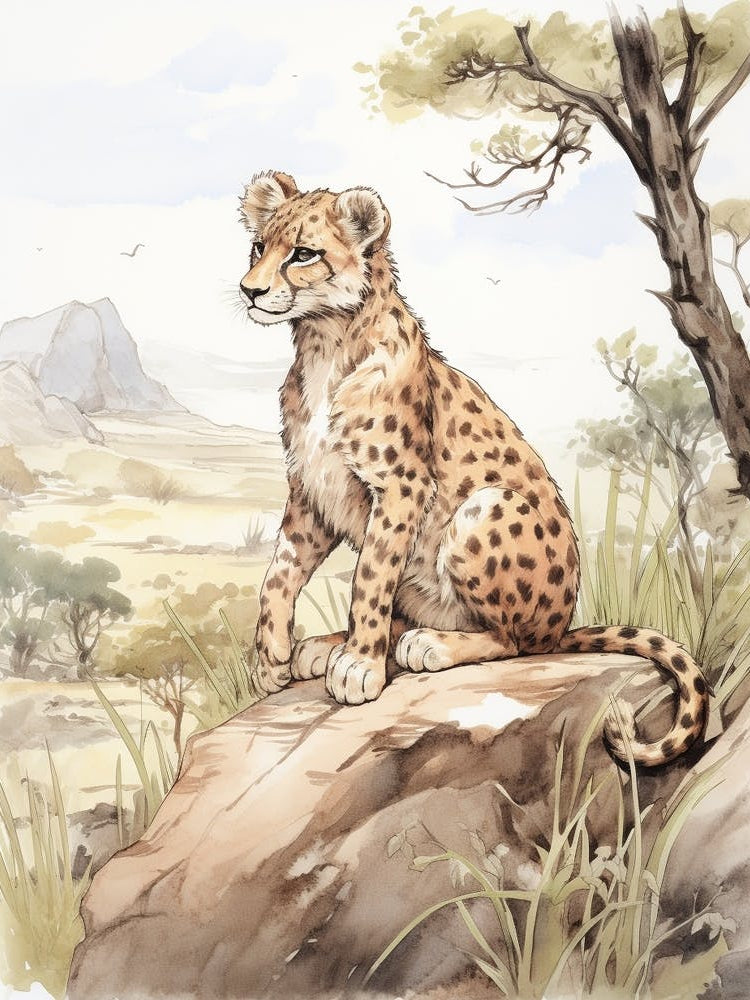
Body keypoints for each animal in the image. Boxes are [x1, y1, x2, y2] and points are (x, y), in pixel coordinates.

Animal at [238, 170, 709, 768]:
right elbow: (279, 573)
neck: (325, 342)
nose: (250, 290)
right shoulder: (312, 489)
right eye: (259, 247)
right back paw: (327, 645)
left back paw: (422, 645)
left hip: (486, 509)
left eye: (303, 253)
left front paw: (360, 665)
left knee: (515, 642)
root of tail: (563, 626)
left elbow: (370, 577)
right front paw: (272, 655)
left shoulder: (401, 486)